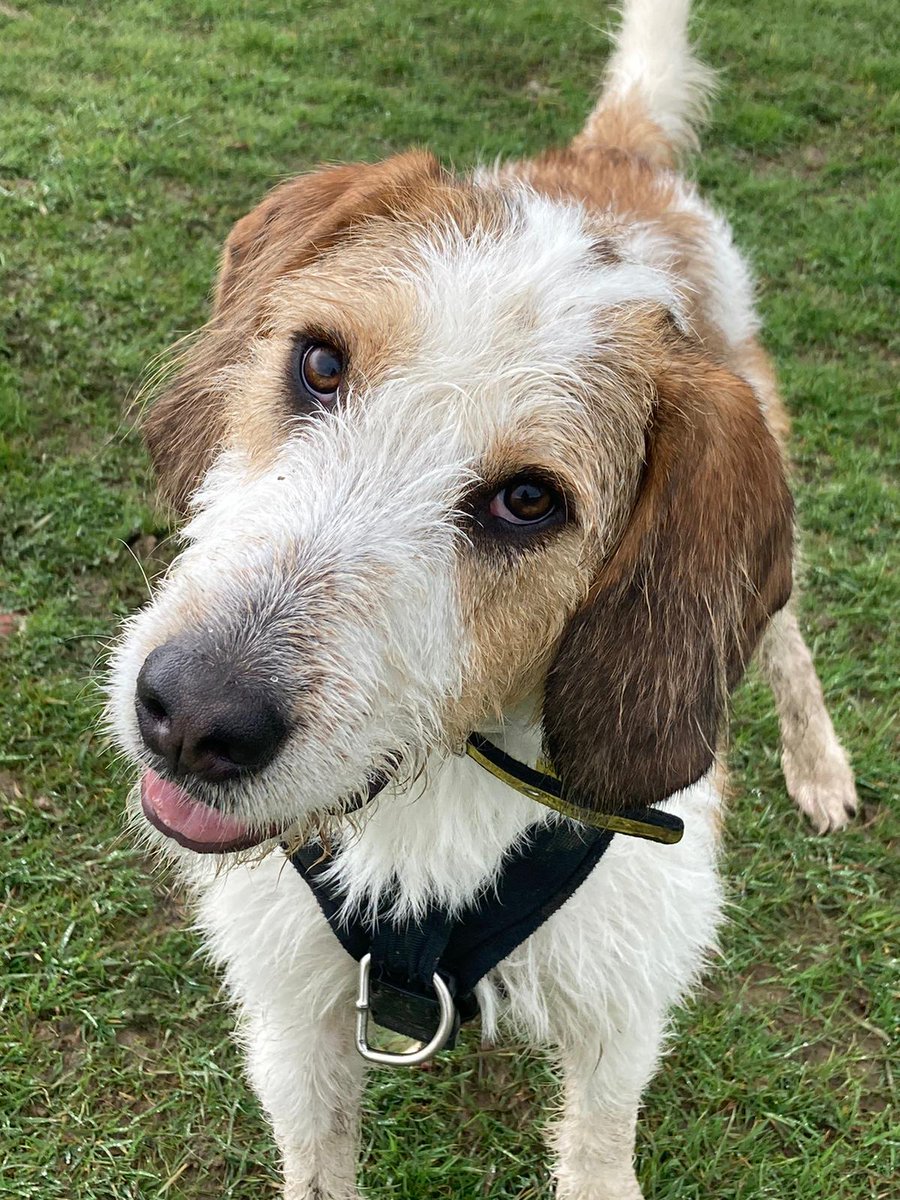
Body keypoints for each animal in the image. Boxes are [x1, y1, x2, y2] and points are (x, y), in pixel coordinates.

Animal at [111, 0, 859, 1195]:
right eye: (319, 365)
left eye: (528, 501)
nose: (188, 718)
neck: (439, 791)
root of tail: (610, 163)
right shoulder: (293, 1026)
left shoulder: (620, 1013)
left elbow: (599, 1154)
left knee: (783, 639)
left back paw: (819, 763)